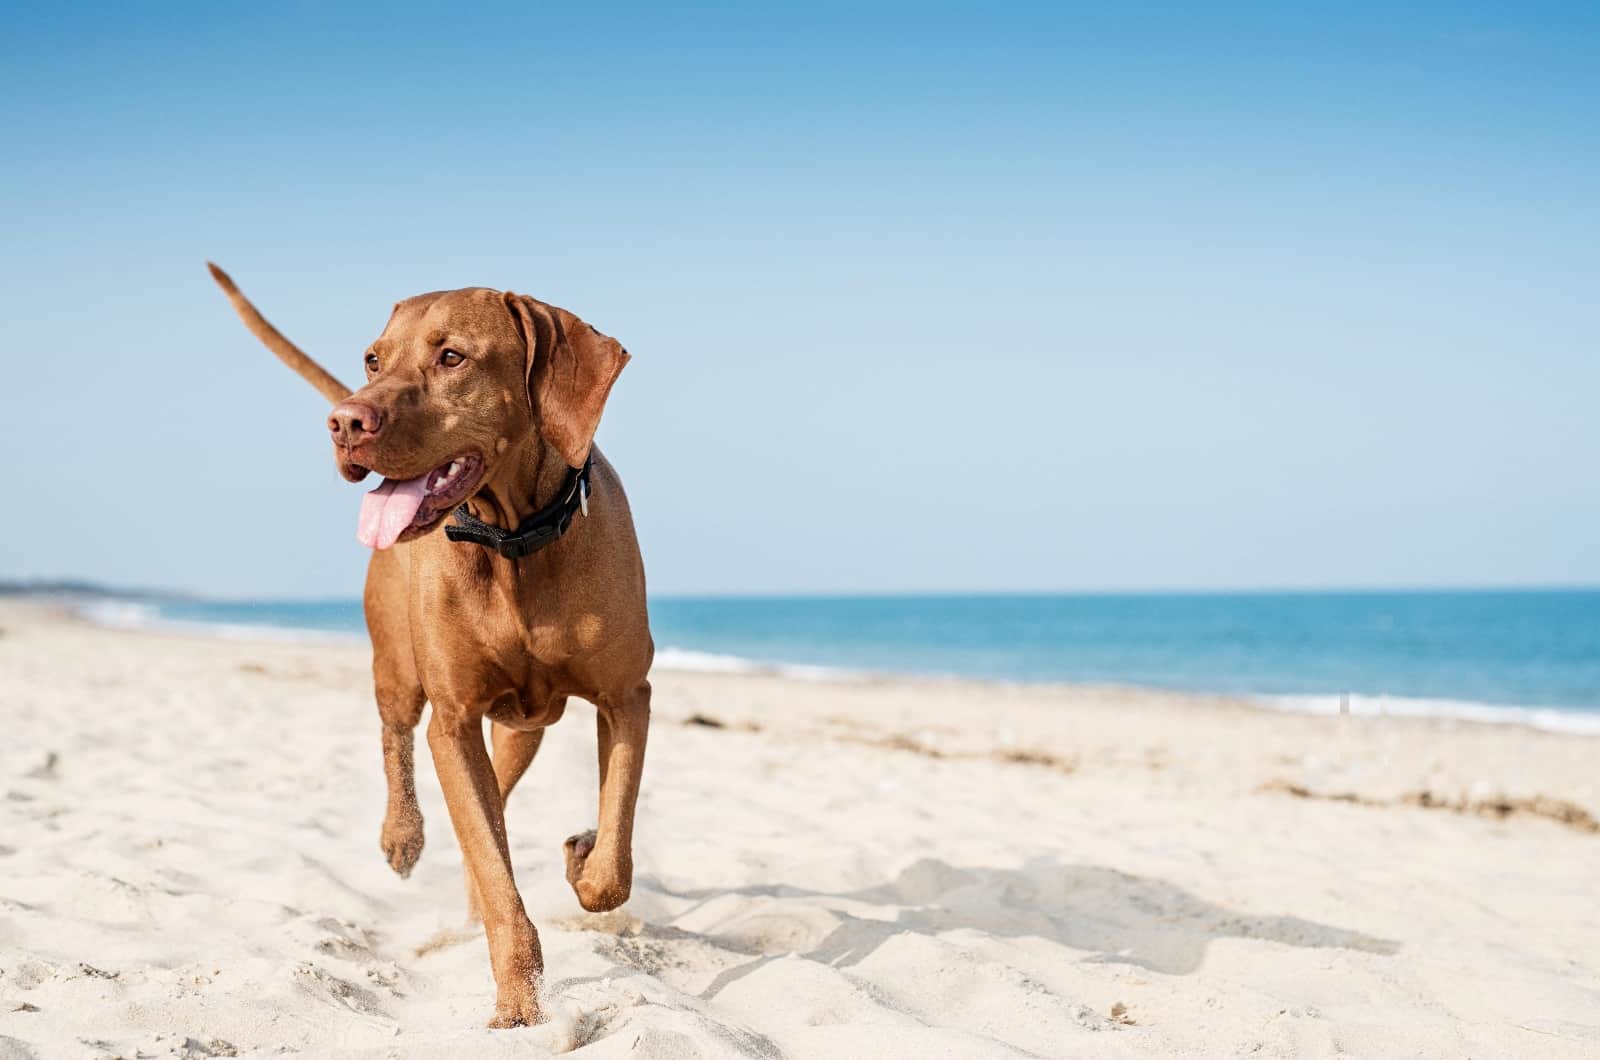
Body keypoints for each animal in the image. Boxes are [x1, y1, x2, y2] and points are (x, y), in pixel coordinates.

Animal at [209, 265, 652, 1031]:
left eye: (452, 357)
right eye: (372, 359)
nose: (346, 422)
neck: (514, 542)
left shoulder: (627, 697)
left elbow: (611, 862)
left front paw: (584, 858)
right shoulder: (453, 717)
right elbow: (499, 877)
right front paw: (518, 1009)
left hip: (523, 726)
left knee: (499, 798)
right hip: (396, 667)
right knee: (398, 738)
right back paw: (402, 834)